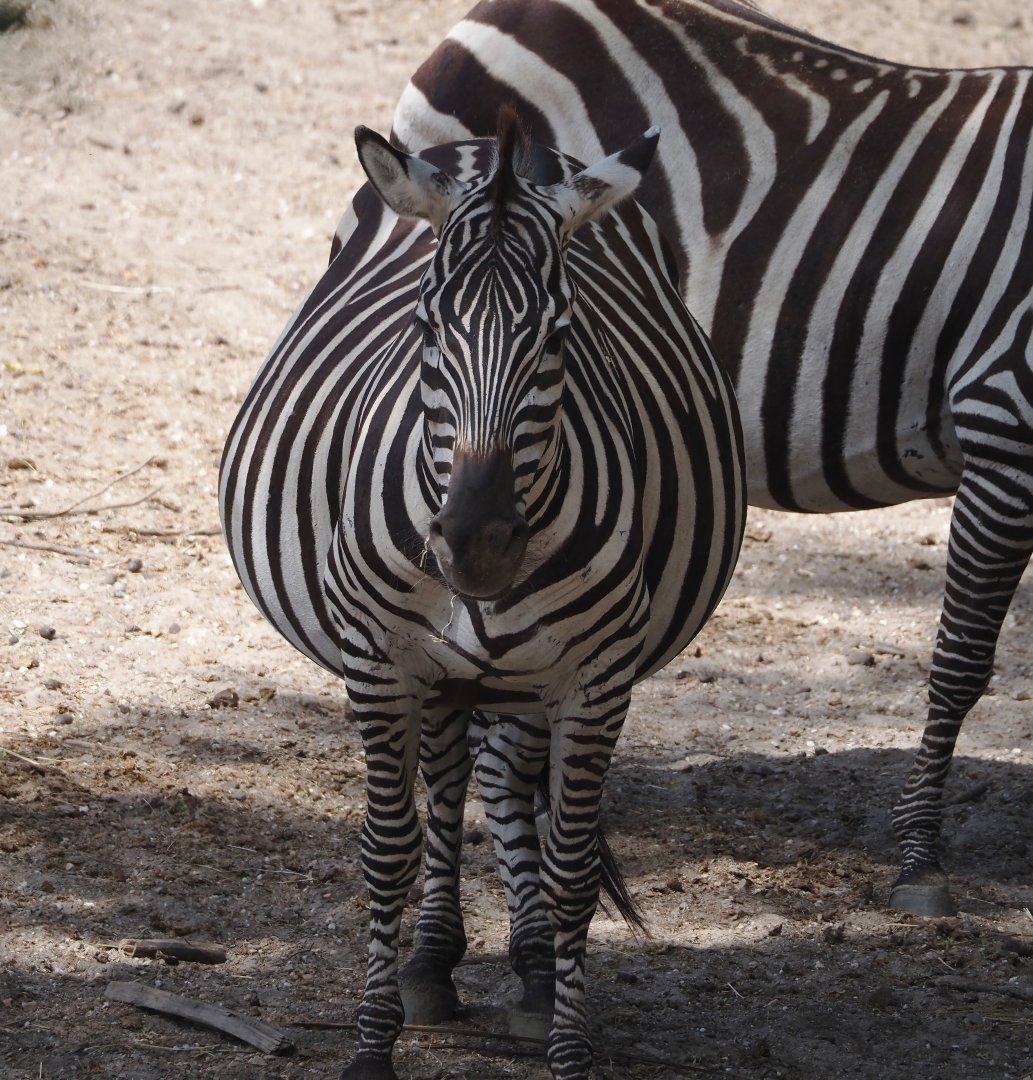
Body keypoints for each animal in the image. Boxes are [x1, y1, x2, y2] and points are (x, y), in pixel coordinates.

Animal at [219, 110, 744, 1080]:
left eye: (559, 337)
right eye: (425, 328)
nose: (476, 544)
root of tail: (485, 145)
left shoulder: (594, 678)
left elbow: (573, 867)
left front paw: (568, 1047)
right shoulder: (381, 662)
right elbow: (387, 848)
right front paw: (370, 1048)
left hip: (521, 676)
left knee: (497, 776)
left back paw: (531, 973)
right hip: (440, 672)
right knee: (452, 776)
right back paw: (431, 962)